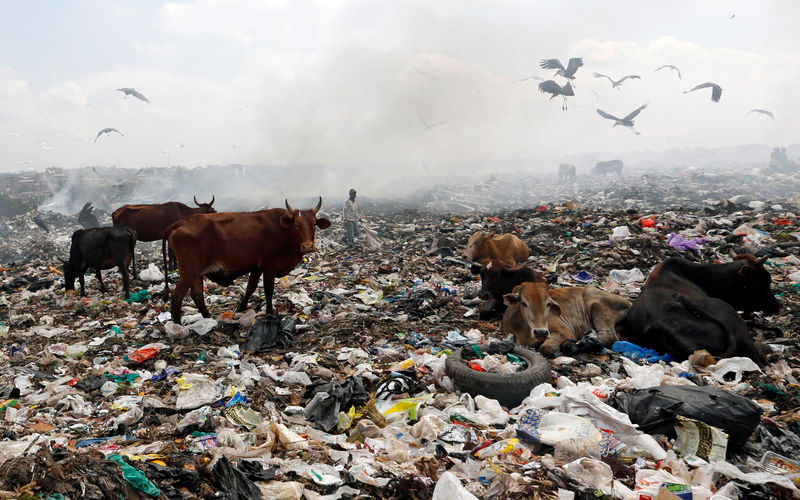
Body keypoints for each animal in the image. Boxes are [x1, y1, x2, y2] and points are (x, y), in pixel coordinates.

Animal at [164, 197, 330, 322]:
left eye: (314, 224)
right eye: (296, 224)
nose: (307, 246)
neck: (284, 230)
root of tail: (182, 222)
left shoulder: (257, 267)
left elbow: (251, 287)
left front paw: (241, 307)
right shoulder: (269, 266)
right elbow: (269, 289)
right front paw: (270, 311)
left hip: (197, 273)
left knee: (197, 295)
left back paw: (208, 318)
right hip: (189, 270)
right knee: (177, 296)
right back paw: (177, 324)